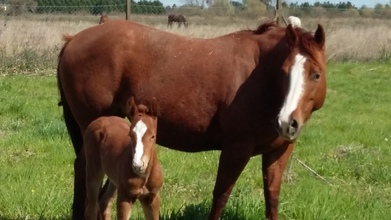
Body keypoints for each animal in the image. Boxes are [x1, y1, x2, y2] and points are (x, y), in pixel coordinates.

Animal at [56, 19, 328, 220]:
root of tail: (73, 40)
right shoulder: (236, 148)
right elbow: (221, 195)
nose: (287, 122)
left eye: (316, 74)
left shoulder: (280, 150)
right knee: (84, 172)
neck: (260, 76)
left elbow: (272, 196)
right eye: (284, 72)